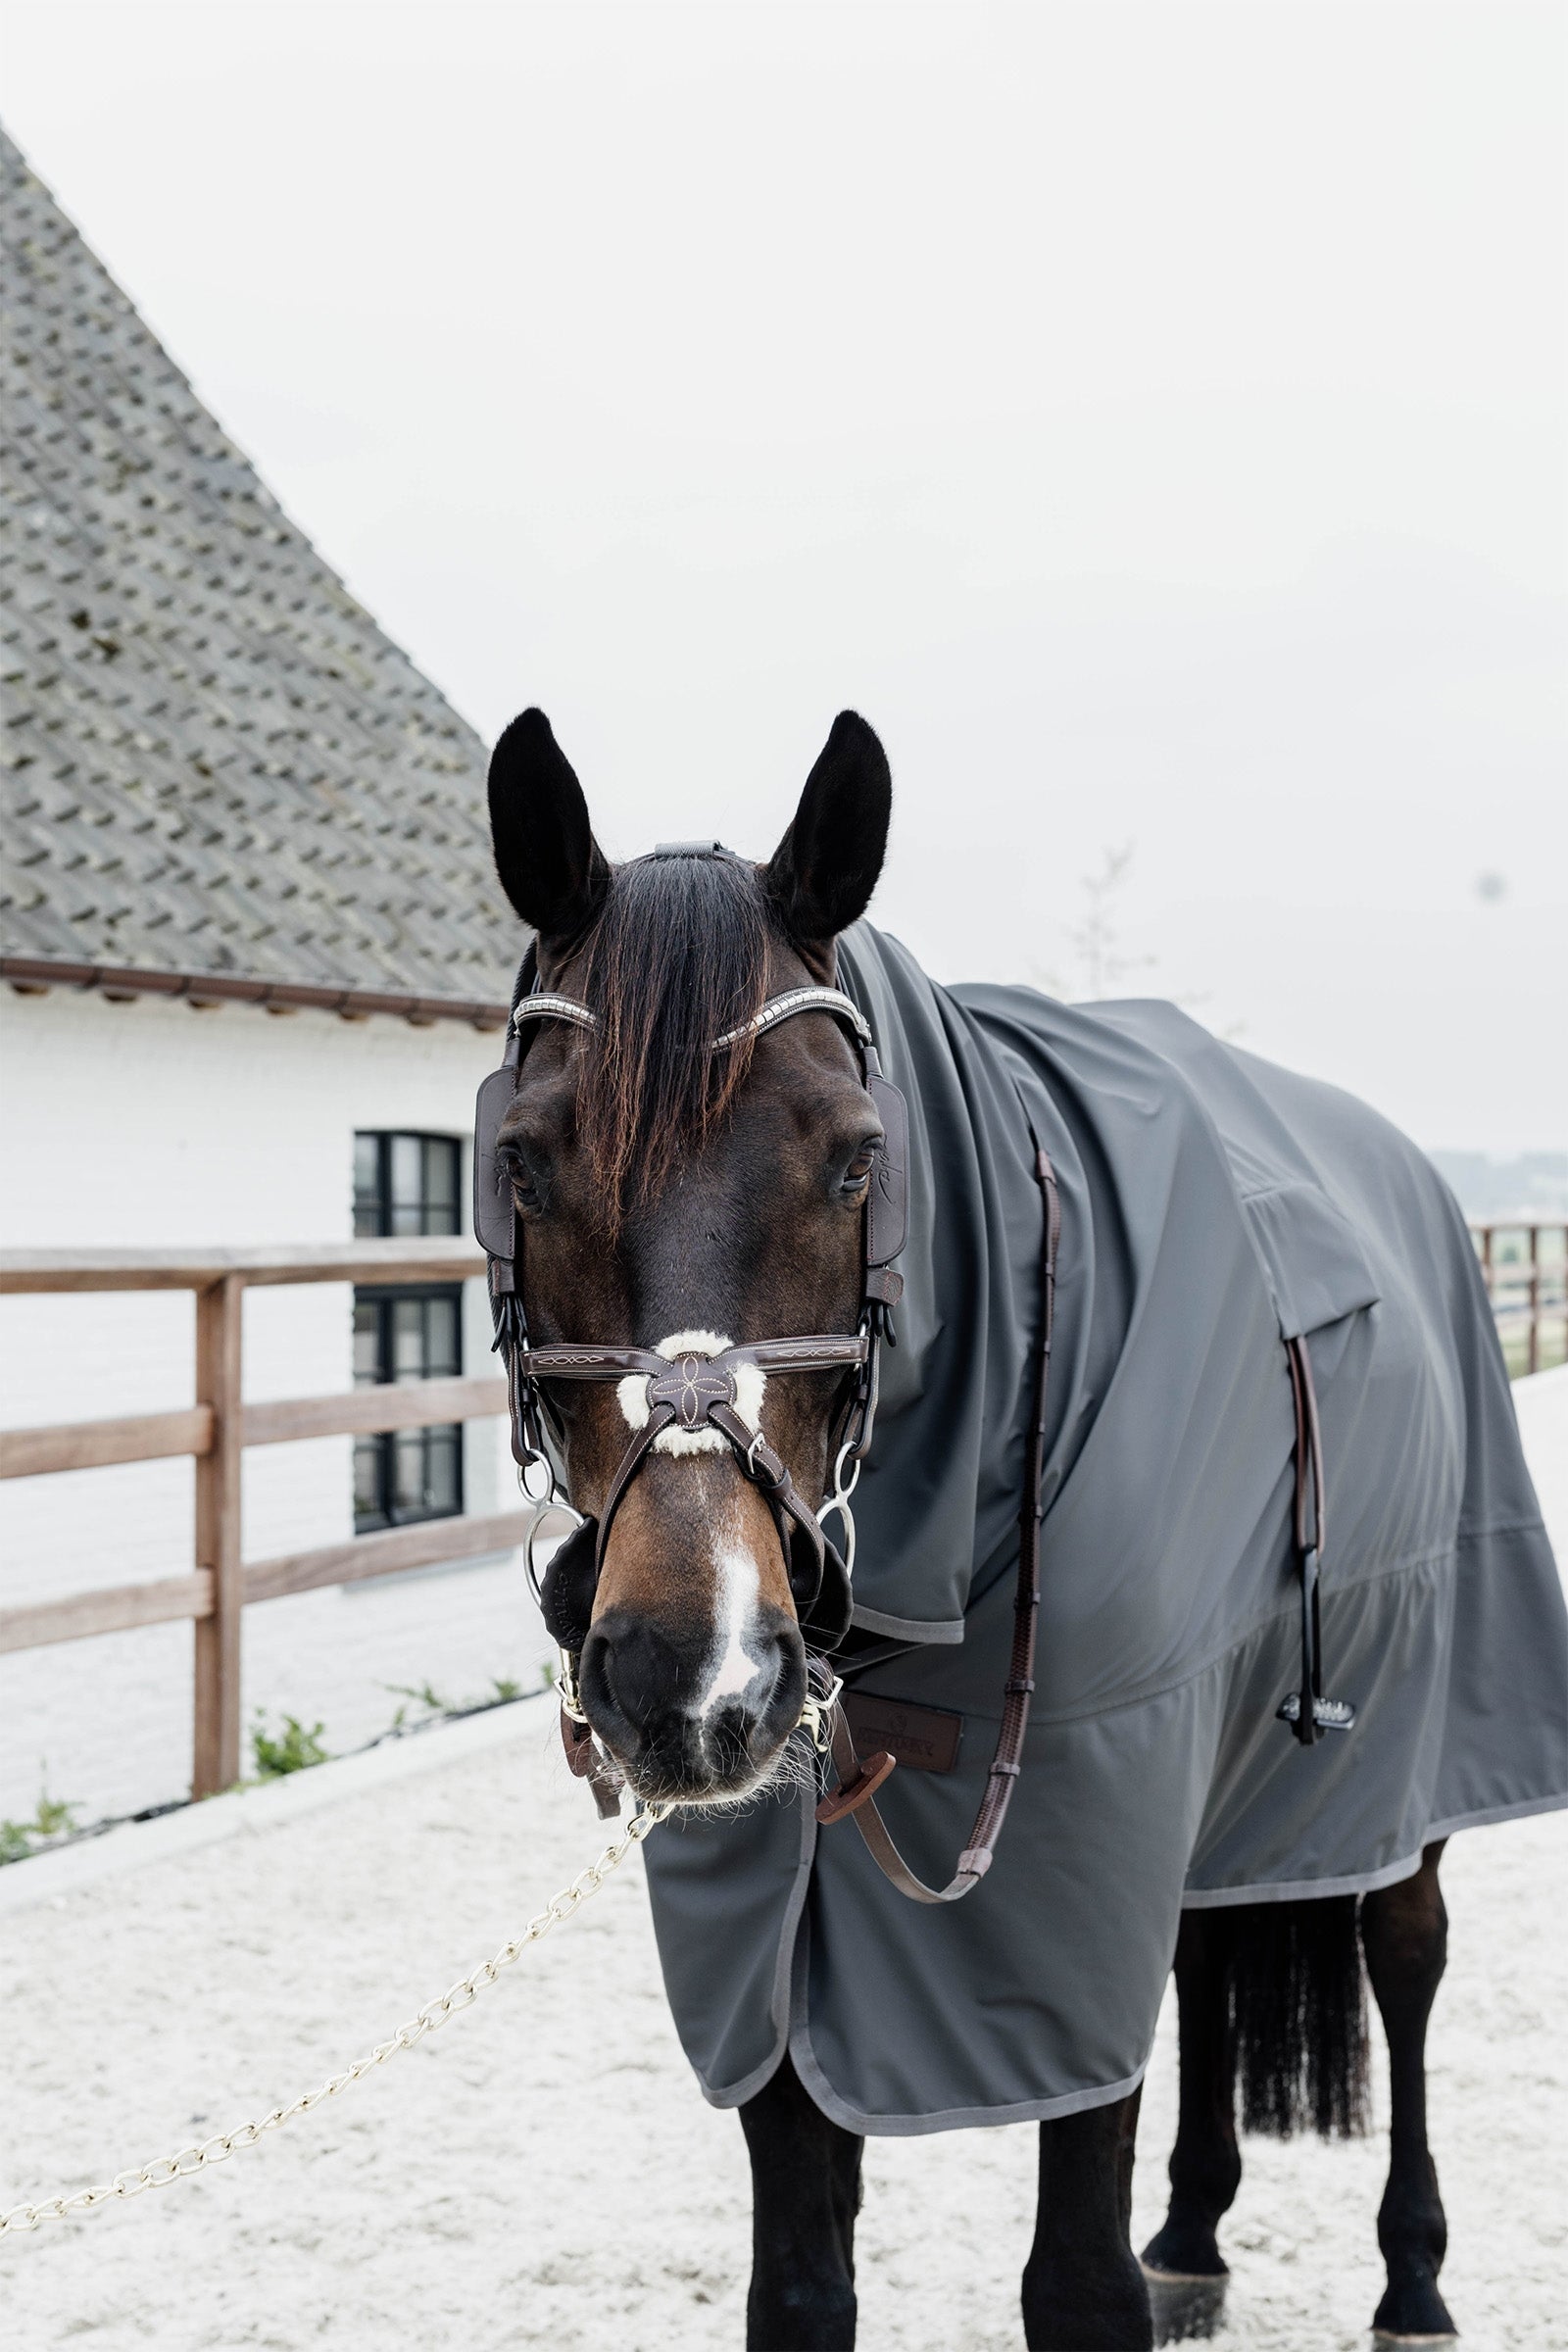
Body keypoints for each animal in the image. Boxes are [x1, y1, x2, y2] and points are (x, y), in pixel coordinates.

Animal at [475, 706, 1565, 2350]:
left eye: (858, 1158)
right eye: (525, 1161)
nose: (693, 1678)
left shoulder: (1072, 1860)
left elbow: (1076, 2285)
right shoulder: (779, 1953)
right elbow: (802, 2288)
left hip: (1401, 1740)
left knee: (1409, 1955)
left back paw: (1416, 2278)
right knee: (1203, 1947)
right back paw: (1196, 2230)